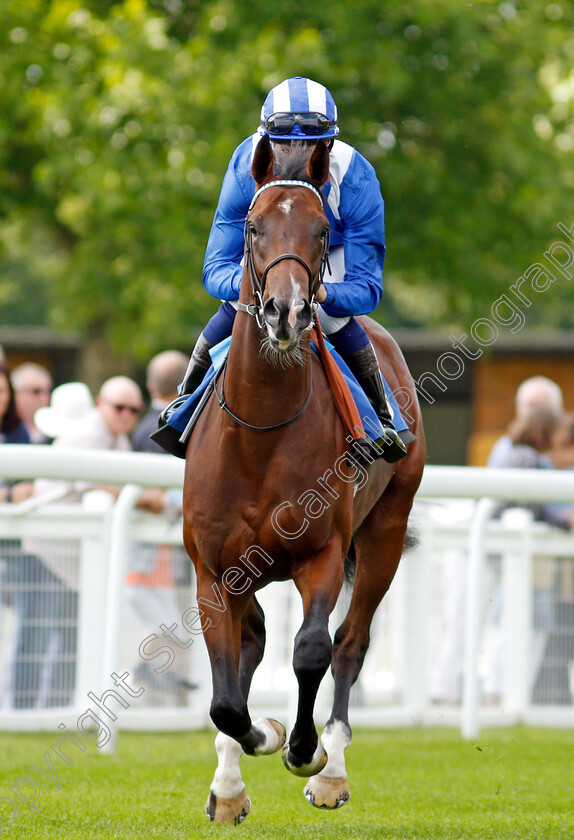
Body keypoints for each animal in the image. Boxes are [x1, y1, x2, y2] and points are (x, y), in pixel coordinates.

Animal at [184, 135, 428, 824]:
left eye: (322, 231)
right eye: (252, 225)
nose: (287, 312)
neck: (261, 434)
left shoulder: (321, 553)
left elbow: (313, 649)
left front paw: (302, 748)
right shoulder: (214, 570)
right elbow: (226, 694)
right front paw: (243, 763)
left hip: (385, 531)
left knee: (350, 643)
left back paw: (332, 771)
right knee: (253, 645)